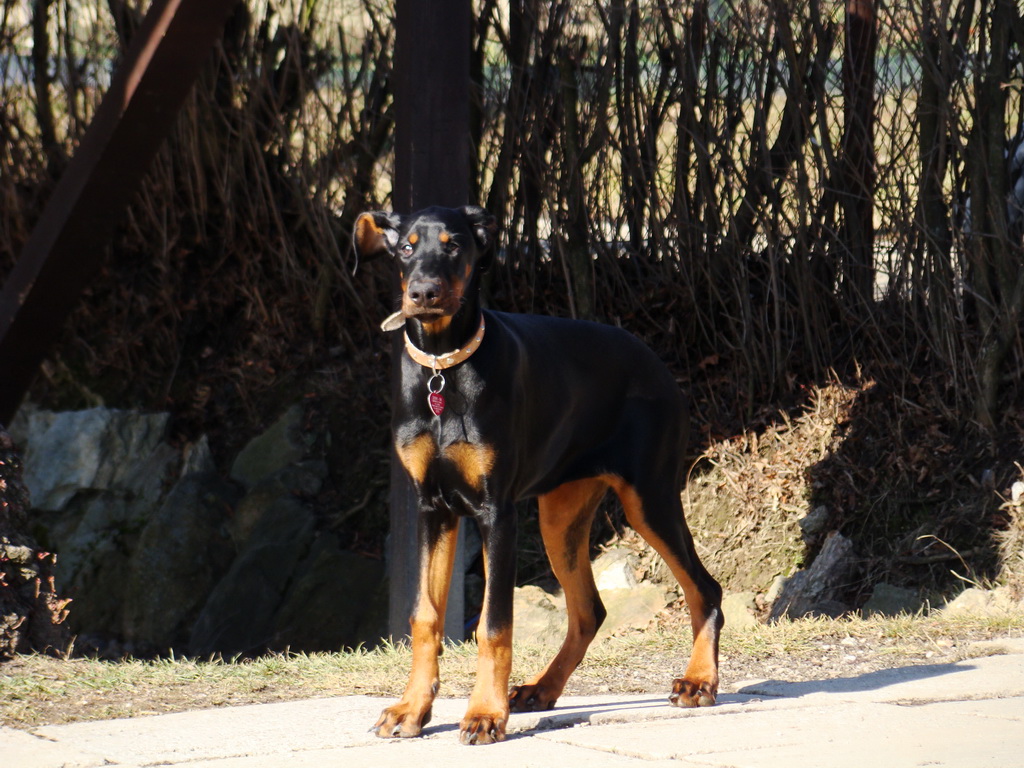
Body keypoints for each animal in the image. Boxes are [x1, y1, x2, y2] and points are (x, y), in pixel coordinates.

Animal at [356, 207, 724, 749]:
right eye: (405, 247)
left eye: (453, 245)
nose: (422, 293)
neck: (444, 366)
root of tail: (654, 359)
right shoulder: (432, 508)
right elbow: (424, 615)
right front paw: (412, 709)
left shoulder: (497, 513)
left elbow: (494, 625)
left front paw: (484, 715)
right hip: (560, 517)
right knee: (589, 609)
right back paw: (541, 689)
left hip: (649, 498)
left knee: (705, 589)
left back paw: (699, 681)